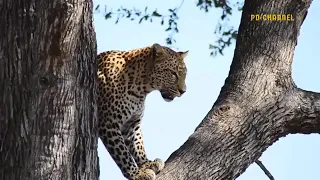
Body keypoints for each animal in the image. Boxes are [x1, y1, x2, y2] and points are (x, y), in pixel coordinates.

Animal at [97, 43, 188, 180]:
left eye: (185, 74)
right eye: (173, 73)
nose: (183, 91)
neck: (141, 89)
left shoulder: (132, 123)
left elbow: (138, 145)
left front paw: (147, 164)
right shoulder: (109, 123)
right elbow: (123, 153)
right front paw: (137, 174)